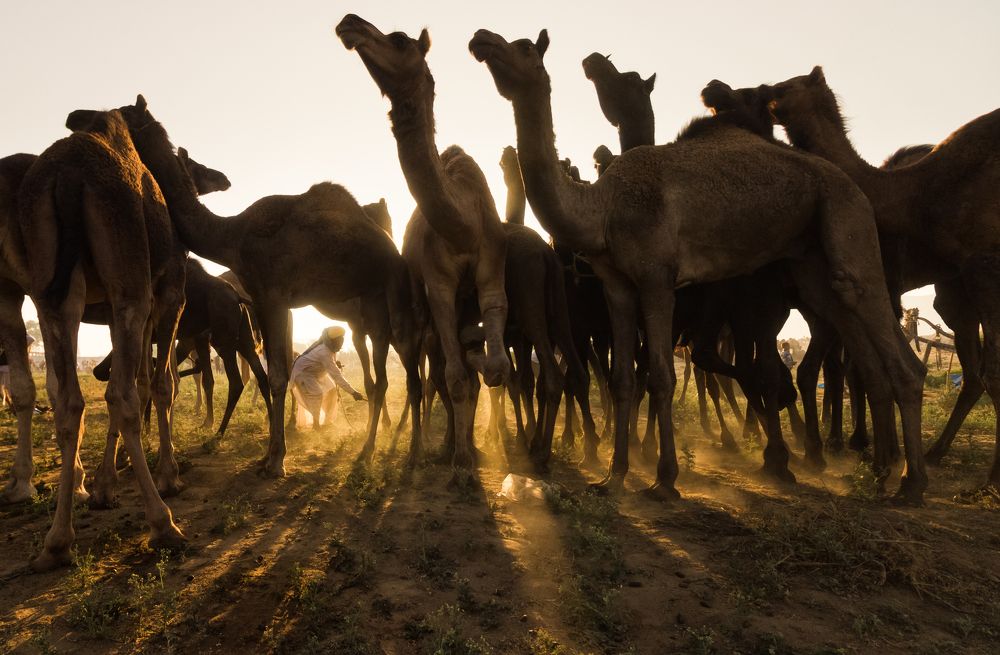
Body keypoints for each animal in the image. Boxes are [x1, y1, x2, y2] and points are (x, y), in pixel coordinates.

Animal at [19, 109, 186, 570]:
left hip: (53, 293)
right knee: (120, 396)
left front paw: (104, 485)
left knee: (68, 403)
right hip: (129, 279)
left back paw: (57, 542)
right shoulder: (165, 297)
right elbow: (157, 384)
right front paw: (167, 475)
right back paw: (163, 525)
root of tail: (67, 177)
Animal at [87, 95, 422, 479]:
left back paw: (411, 453)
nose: (82, 121)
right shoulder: (271, 301)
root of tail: (393, 251)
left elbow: (277, 376)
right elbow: (278, 371)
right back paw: (369, 451)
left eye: (123, 115)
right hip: (371, 307)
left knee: (410, 373)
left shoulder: (272, 294)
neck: (232, 236)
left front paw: (275, 461)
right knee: (380, 379)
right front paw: (268, 456)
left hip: (393, 294)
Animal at [337, 14, 510, 481]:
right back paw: (430, 449)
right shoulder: (439, 288)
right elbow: (455, 377)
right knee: (425, 375)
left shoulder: (490, 279)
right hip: (413, 311)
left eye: (399, 40)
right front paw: (462, 462)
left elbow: (493, 368)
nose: (350, 23)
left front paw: (471, 451)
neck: (464, 222)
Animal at [470, 29, 927, 502]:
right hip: (811, 261)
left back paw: (909, 482)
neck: (603, 208)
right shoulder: (617, 285)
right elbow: (621, 379)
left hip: (845, 215)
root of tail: (852, 181)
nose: (482, 38)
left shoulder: (657, 278)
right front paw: (613, 475)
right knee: (853, 332)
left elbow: (660, 376)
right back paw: (876, 472)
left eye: (524, 46)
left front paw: (664, 478)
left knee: (881, 329)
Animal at [765, 68, 1000, 490]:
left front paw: (874, 451)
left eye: (784, 86)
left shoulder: (982, 261)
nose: (763, 94)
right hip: (953, 293)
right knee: (971, 373)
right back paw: (934, 452)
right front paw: (869, 448)